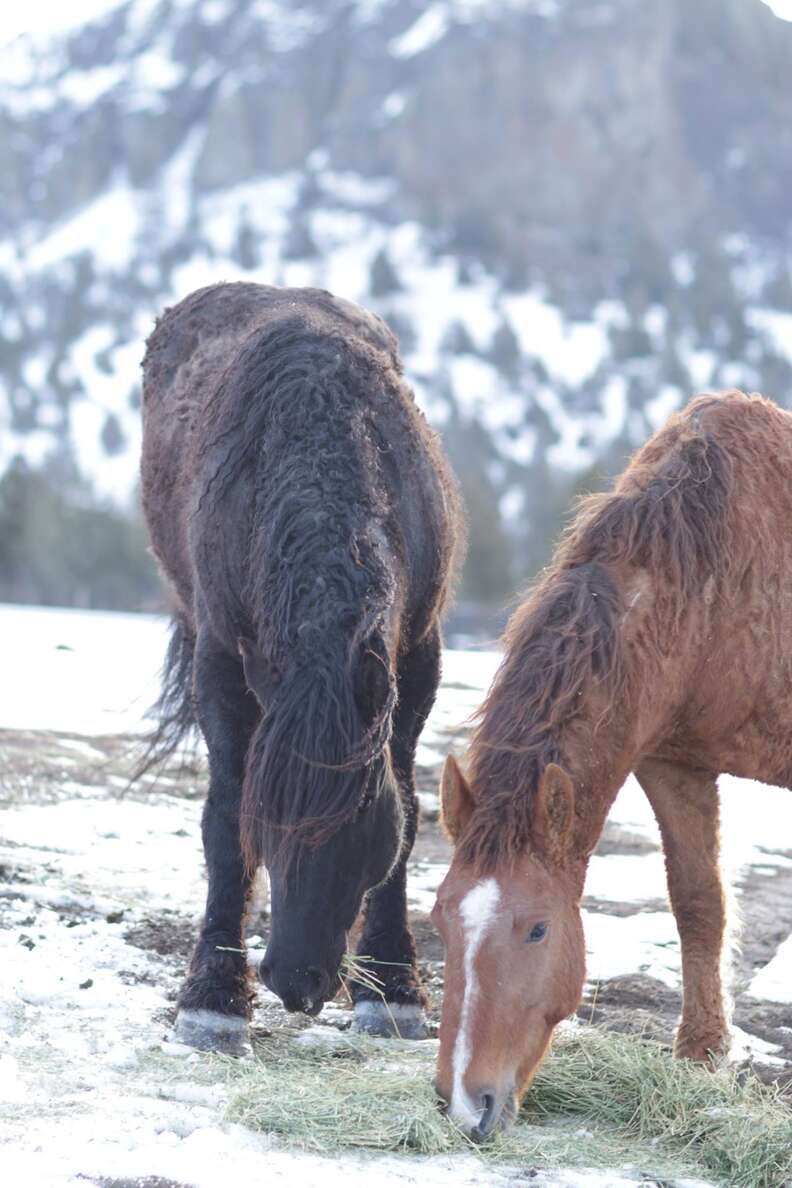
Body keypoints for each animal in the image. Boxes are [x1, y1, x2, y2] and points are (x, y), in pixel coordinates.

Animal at [140, 281, 463, 1052]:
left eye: (367, 841)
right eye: (273, 824)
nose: (299, 982)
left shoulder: (418, 656)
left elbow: (411, 808)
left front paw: (394, 991)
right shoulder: (222, 662)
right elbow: (224, 823)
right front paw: (214, 1002)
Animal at [432, 389, 792, 1139]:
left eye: (538, 927)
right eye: (439, 919)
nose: (464, 1104)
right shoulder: (670, 761)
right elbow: (697, 901)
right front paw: (701, 1054)